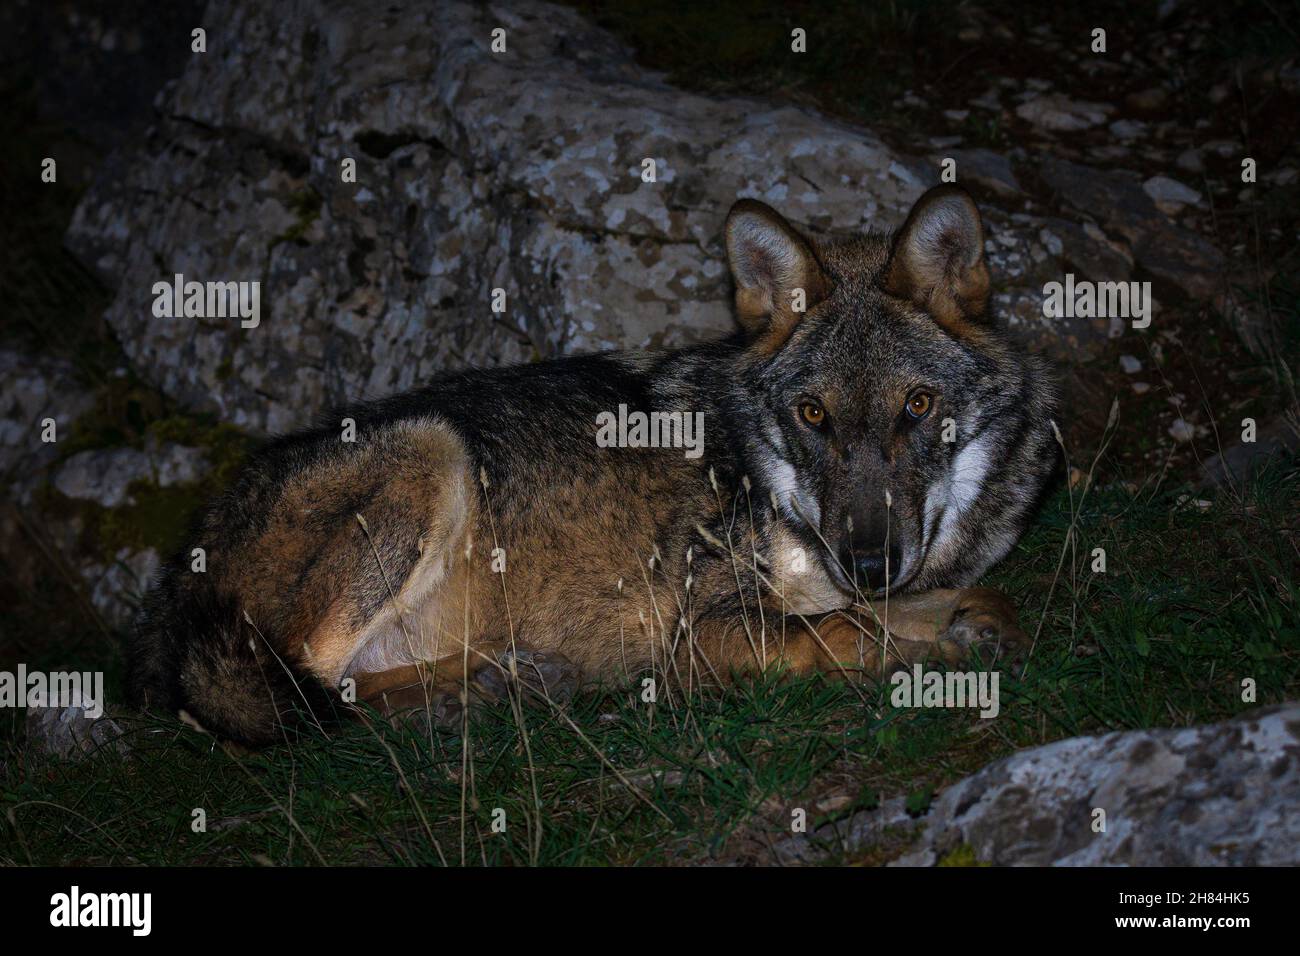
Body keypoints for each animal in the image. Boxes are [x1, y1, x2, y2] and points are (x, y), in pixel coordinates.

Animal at [126, 183, 1055, 743]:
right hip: (429, 450)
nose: (866, 561)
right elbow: (844, 631)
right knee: (302, 695)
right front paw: (923, 660)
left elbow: (956, 600)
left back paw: (506, 680)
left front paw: (980, 626)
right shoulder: (703, 628)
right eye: (814, 415)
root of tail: (173, 587)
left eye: (918, 406)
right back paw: (492, 689)